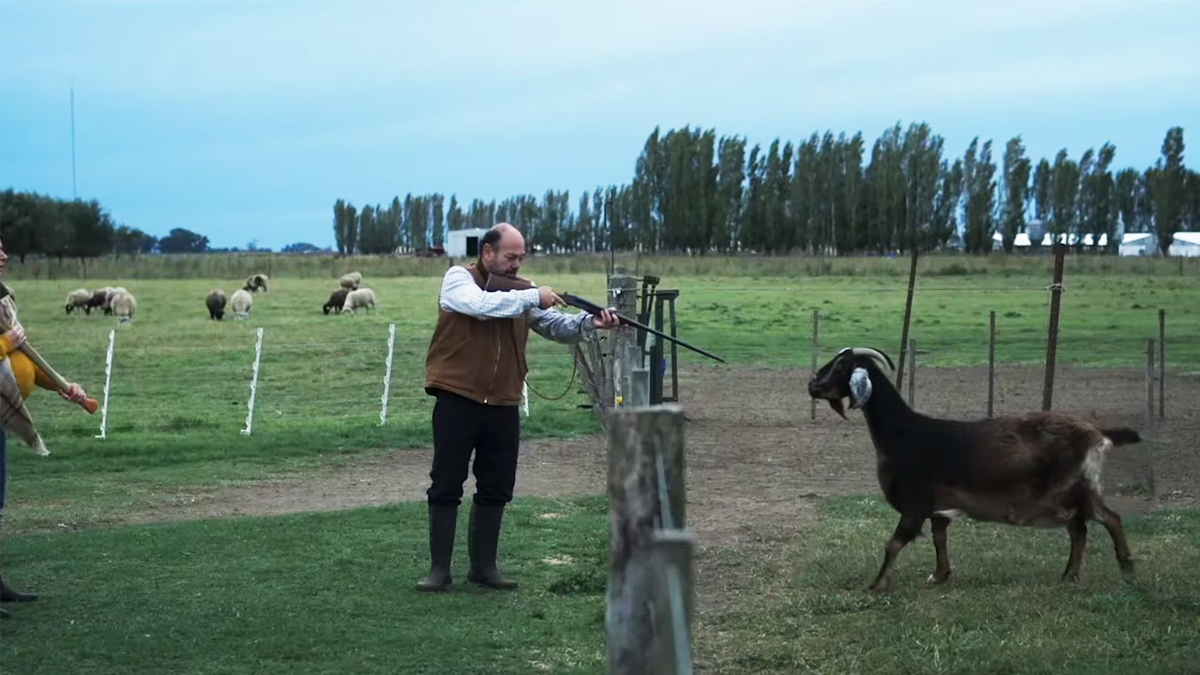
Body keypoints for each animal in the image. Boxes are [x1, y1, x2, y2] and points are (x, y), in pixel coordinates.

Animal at [807, 346, 1140, 592]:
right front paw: (940, 575)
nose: (812, 384)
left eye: (841, 366)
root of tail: (1098, 433)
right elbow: (939, 538)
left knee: (1108, 519)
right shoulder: (939, 508)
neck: (904, 433)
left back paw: (1126, 569)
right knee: (1080, 529)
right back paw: (1069, 575)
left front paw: (877, 585)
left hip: (1072, 489)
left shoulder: (916, 504)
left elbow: (893, 544)